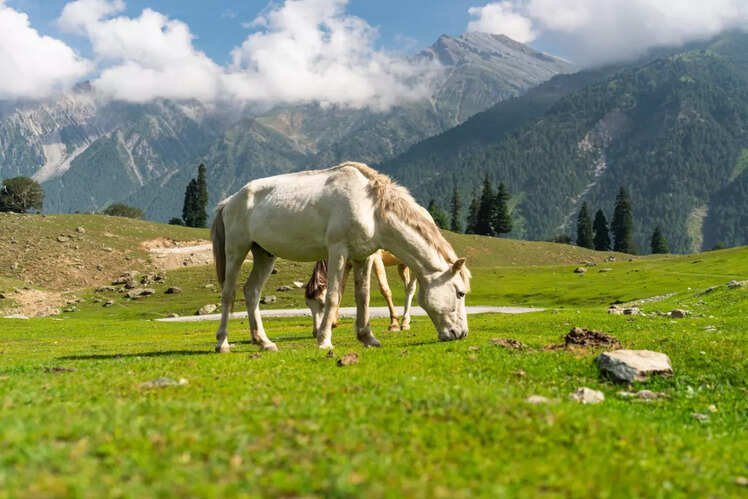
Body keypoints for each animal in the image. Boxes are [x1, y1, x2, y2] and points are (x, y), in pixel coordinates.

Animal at [211, 161, 471, 352]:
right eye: (460, 293)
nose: (461, 334)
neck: (370, 207)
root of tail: (230, 200)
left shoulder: (364, 257)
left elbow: (363, 296)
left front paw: (368, 337)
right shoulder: (338, 251)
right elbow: (334, 295)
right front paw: (324, 340)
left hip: (264, 254)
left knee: (252, 292)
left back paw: (263, 342)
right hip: (237, 249)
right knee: (229, 293)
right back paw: (222, 343)